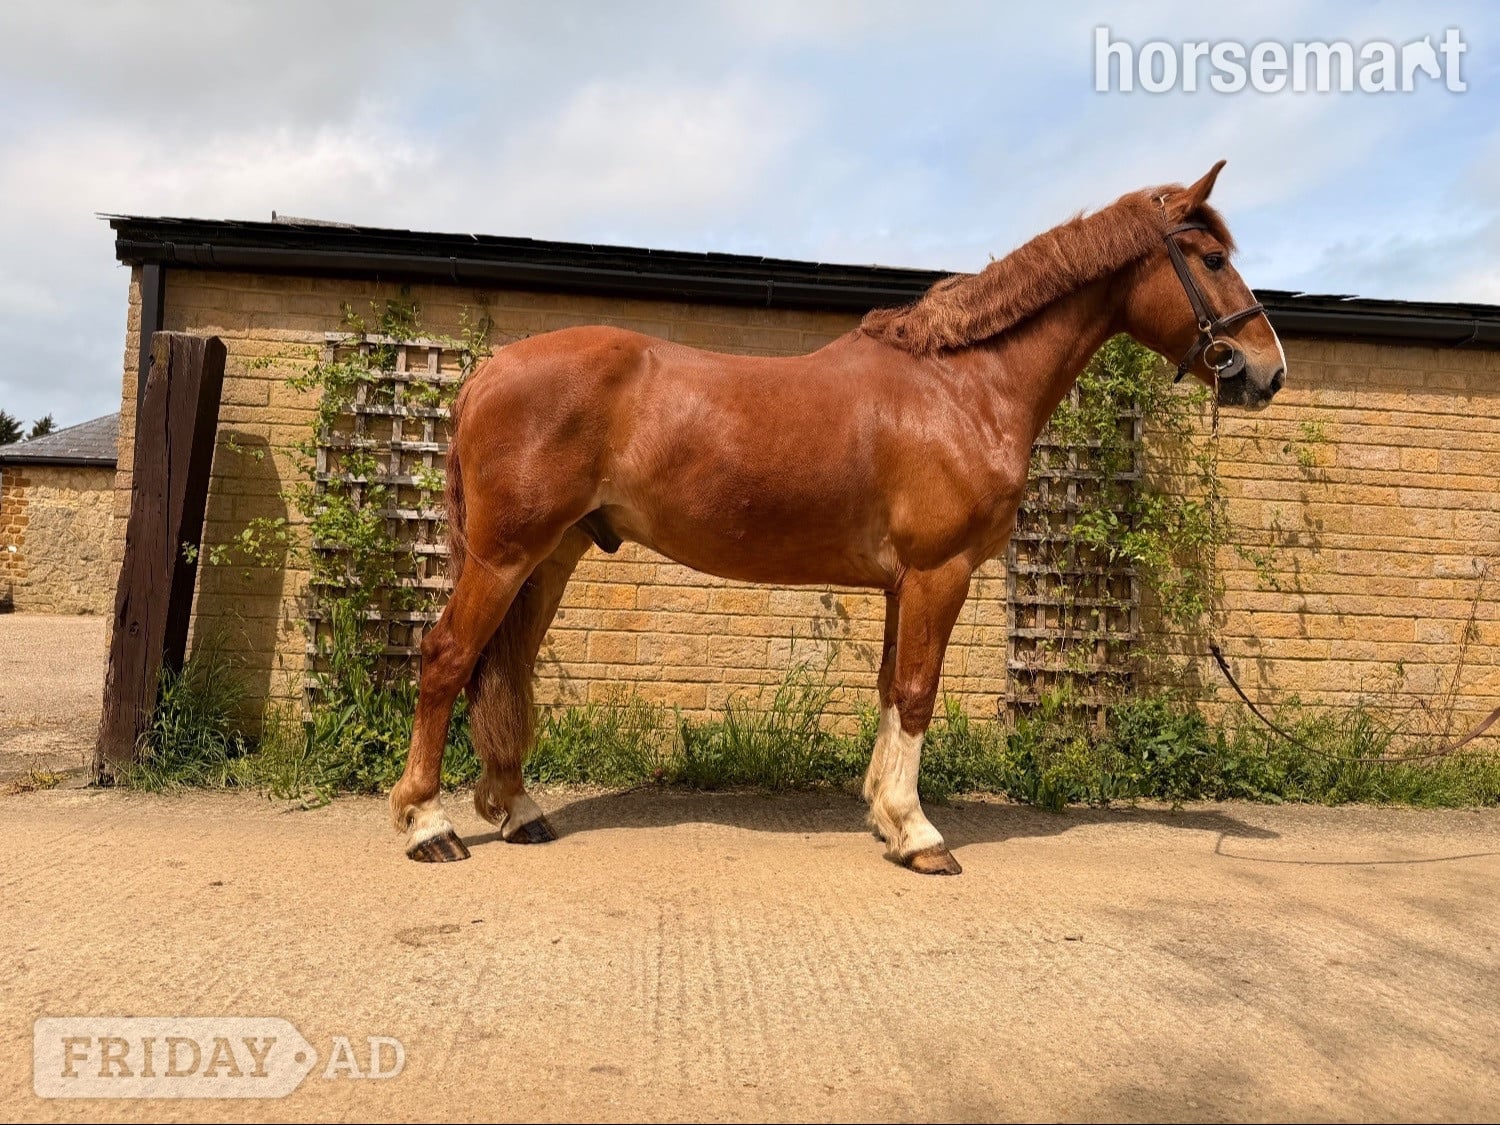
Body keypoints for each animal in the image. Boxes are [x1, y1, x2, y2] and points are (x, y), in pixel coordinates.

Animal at [389, 159, 1286, 875]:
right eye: (1211, 258)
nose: (1266, 371)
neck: (961, 386)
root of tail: (488, 371)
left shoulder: (902, 583)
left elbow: (892, 687)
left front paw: (887, 815)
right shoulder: (939, 572)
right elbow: (919, 692)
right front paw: (920, 834)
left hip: (551, 558)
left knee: (503, 668)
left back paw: (518, 809)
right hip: (504, 557)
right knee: (446, 658)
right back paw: (428, 825)